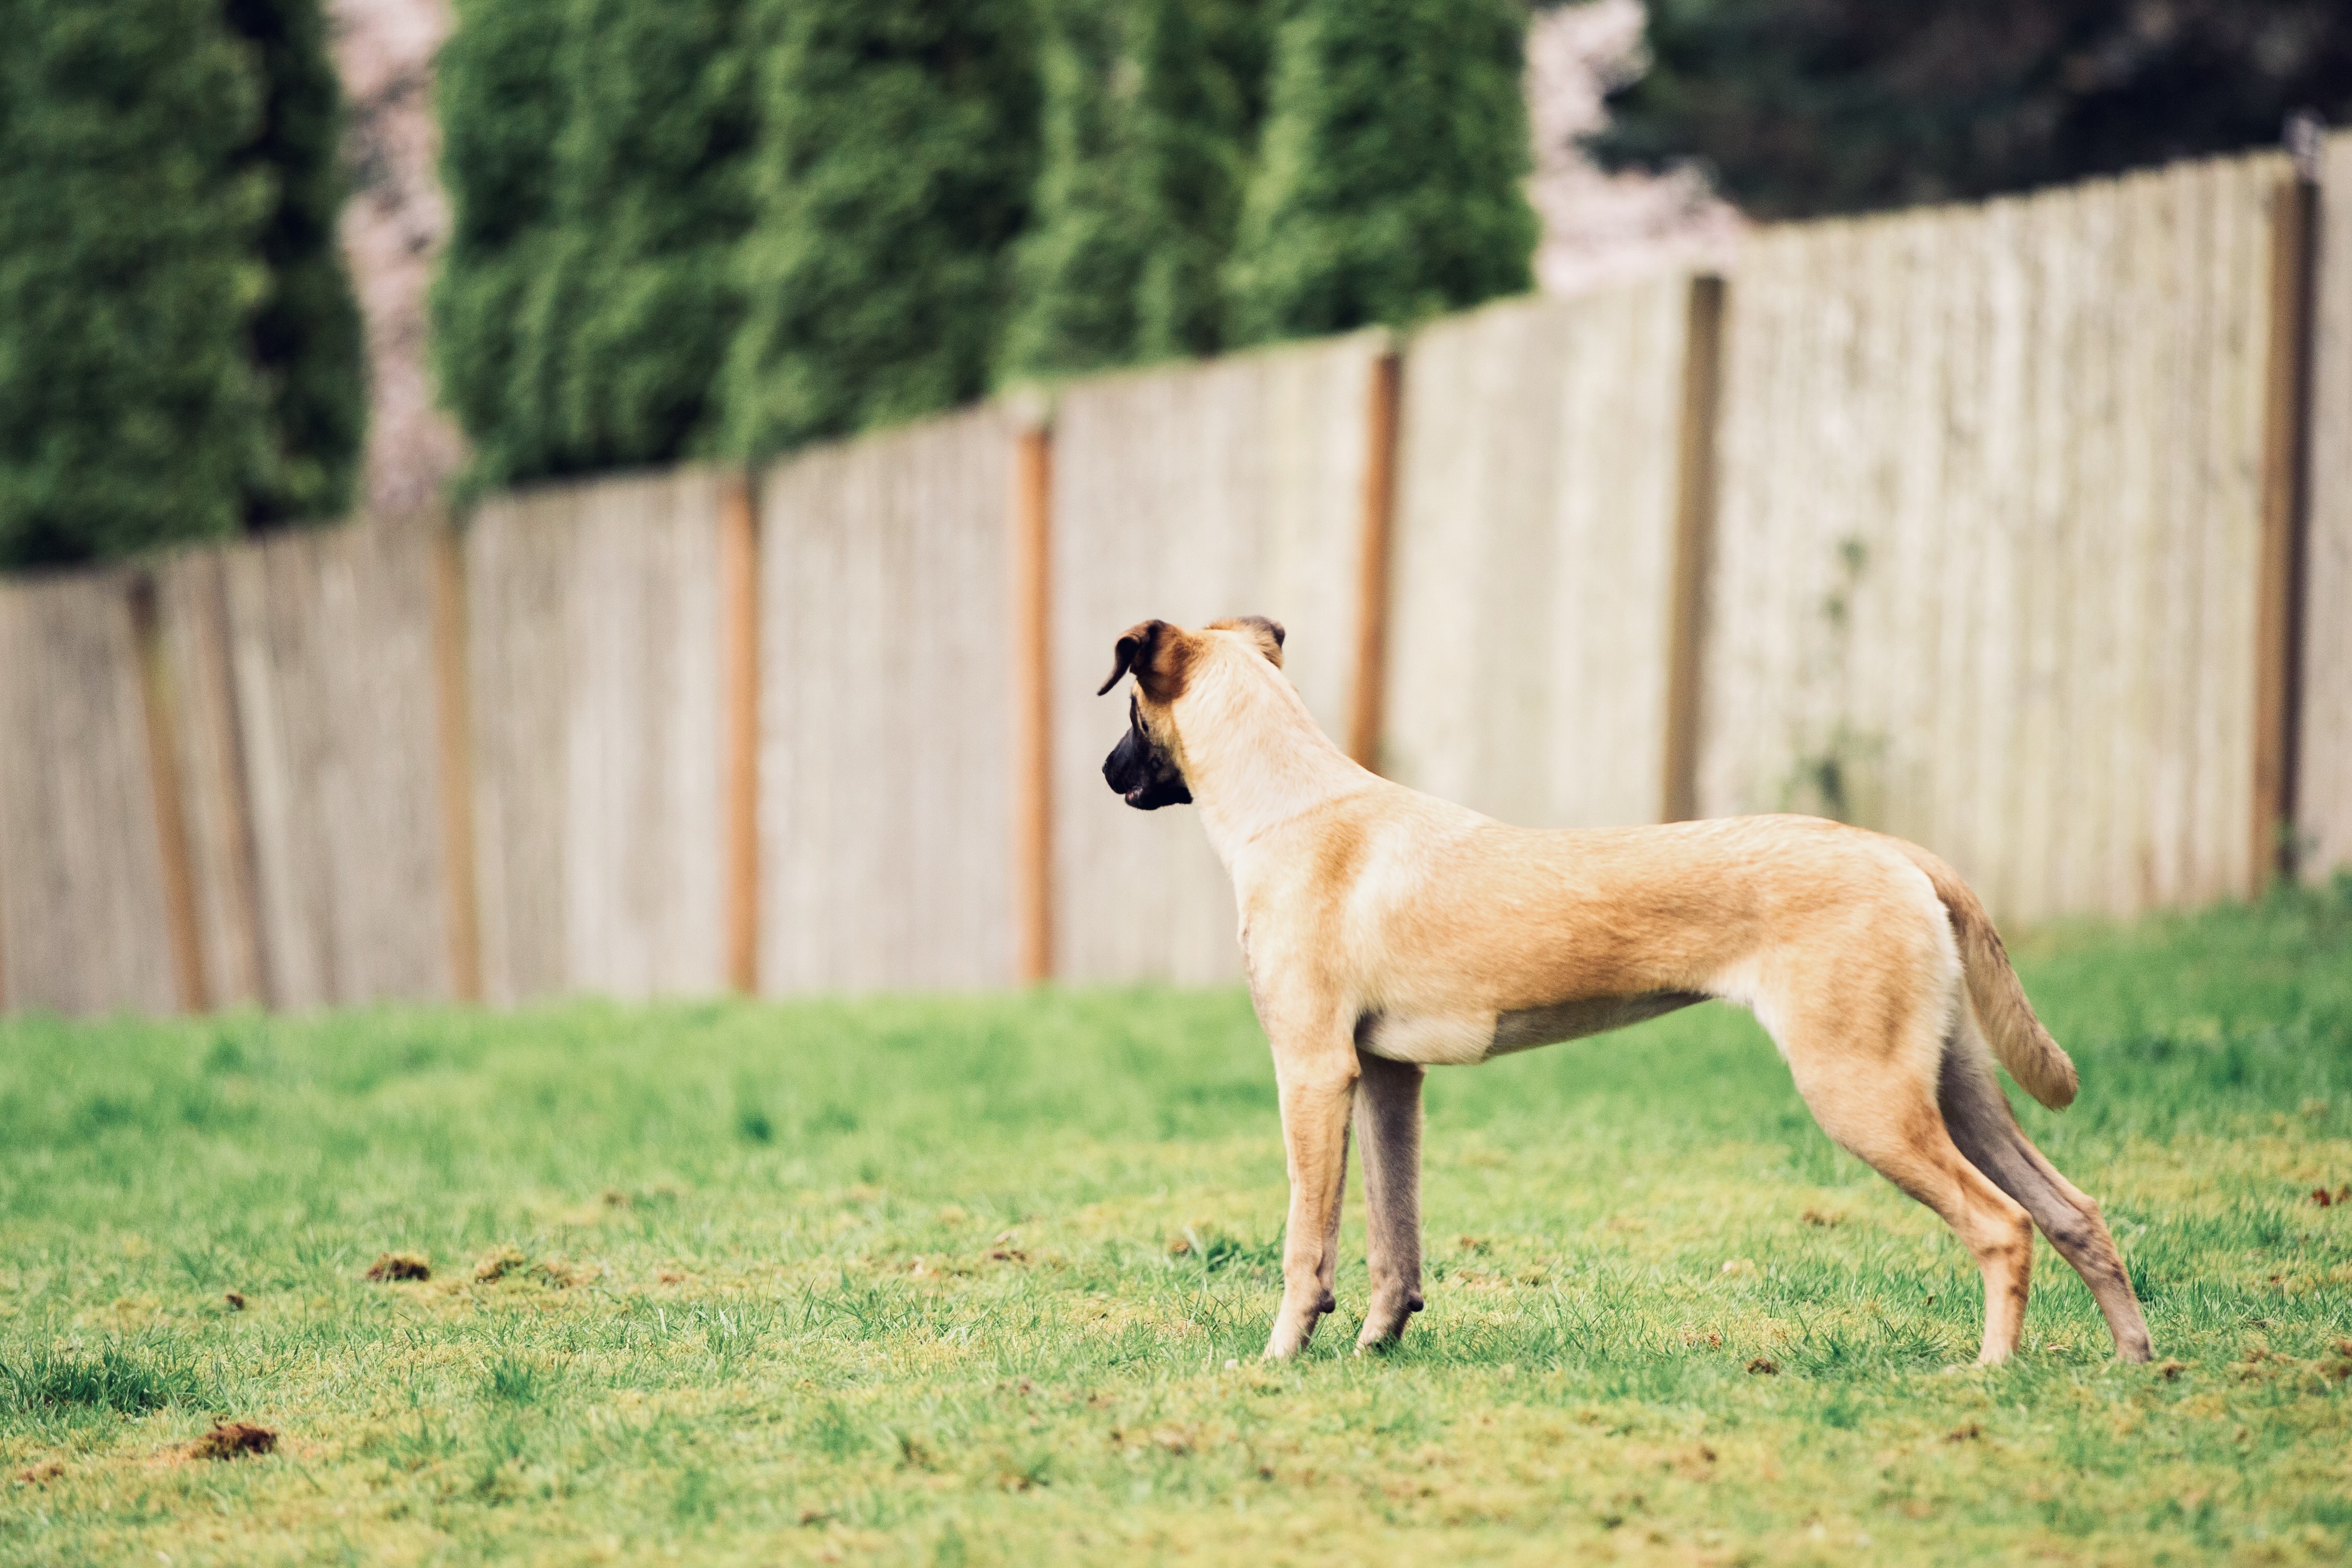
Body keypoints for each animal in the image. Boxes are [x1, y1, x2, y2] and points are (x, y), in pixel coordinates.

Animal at [1096, 611, 2154, 1363]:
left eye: (1128, 713)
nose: (1107, 774)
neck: (1294, 804)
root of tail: (1898, 853)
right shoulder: (1390, 1081)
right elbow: (1396, 1248)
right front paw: (1375, 1348)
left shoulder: (1314, 1073)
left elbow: (1305, 1245)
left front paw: (1279, 1359)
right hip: (1951, 1087)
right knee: (2073, 1212)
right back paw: (2134, 1363)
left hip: (1864, 1095)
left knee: (2004, 1225)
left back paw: (1991, 1371)